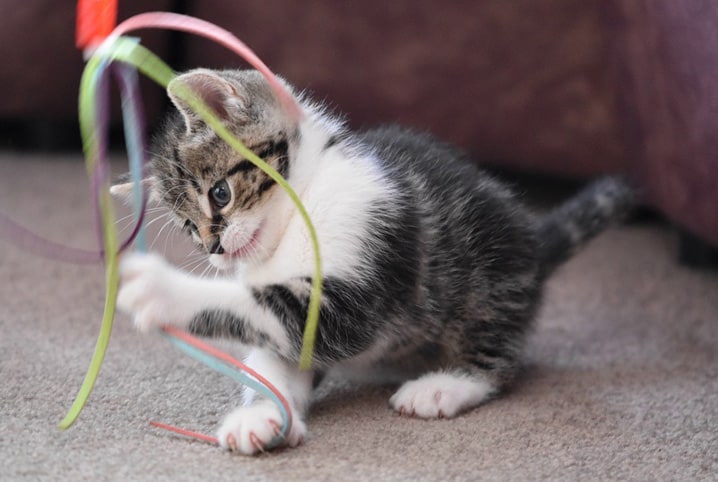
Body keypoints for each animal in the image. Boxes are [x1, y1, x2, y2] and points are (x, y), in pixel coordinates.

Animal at [112, 68, 636, 456]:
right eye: (188, 227)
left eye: (219, 194)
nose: (214, 249)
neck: (299, 213)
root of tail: (533, 239)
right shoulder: (292, 325)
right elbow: (272, 353)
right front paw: (262, 415)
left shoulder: (366, 259)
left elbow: (267, 307)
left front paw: (162, 289)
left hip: (487, 280)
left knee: (498, 357)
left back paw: (445, 386)